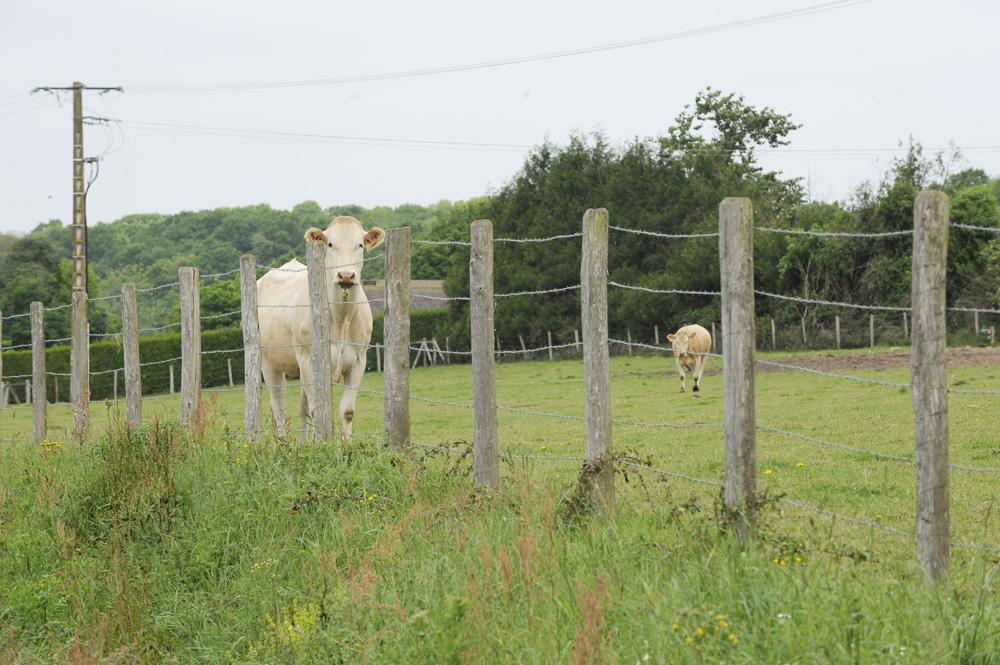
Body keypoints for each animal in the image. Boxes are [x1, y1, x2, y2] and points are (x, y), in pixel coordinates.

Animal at [256, 215, 384, 438]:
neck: (341, 319)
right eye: (330, 244)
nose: (346, 275)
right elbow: (319, 410)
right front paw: (321, 444)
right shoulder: (308, 360)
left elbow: (346, 411)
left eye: (360, 245)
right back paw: (282, 443)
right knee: (278, 406)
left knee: (301, 407)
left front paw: (345, 444)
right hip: (269, 362)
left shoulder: (359, 361)